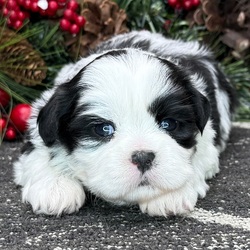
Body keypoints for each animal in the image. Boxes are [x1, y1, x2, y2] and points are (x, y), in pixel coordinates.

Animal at [13, 30, 236, 216]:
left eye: (169, 124)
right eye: (104, 129)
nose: (143, 157)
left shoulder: (208, 141)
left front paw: (171, 193)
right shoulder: (40, 122)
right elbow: (38, 152)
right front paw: (55, 188)